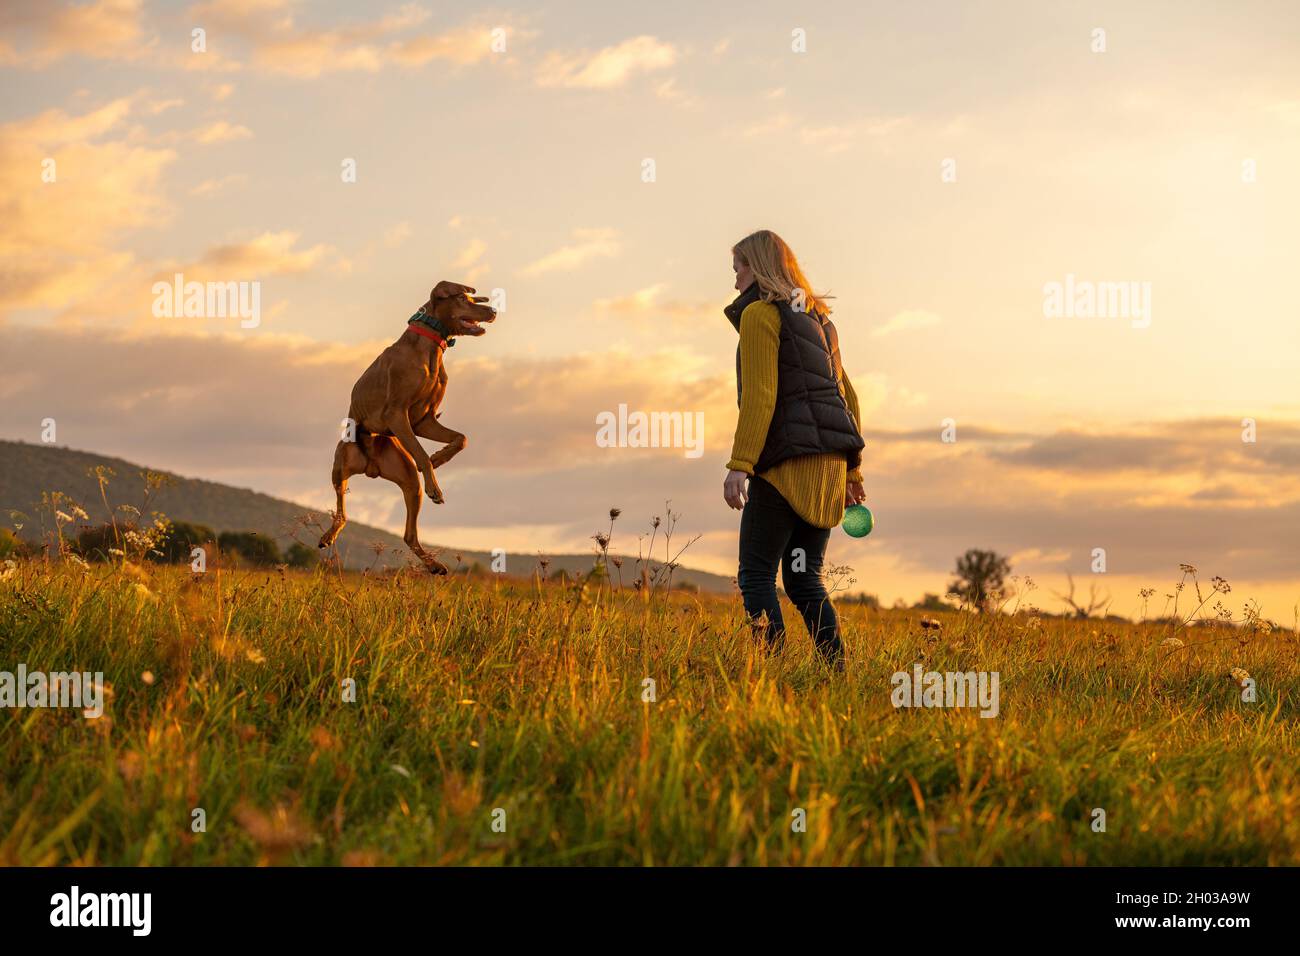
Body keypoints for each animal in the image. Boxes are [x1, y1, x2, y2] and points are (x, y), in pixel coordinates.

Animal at [317, 280, 493, 572]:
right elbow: (421, 453)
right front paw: (435, 480)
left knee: (409, 534)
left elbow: (462, 438)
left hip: (409, 480)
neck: (429, 347)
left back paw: (434, 565)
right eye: (462, 298)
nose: (493, 310)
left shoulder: (423, 420)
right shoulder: (397, 415)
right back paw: (328, 535)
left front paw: (440, 458)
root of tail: (370, 466)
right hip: (341, 462)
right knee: (342, 510)